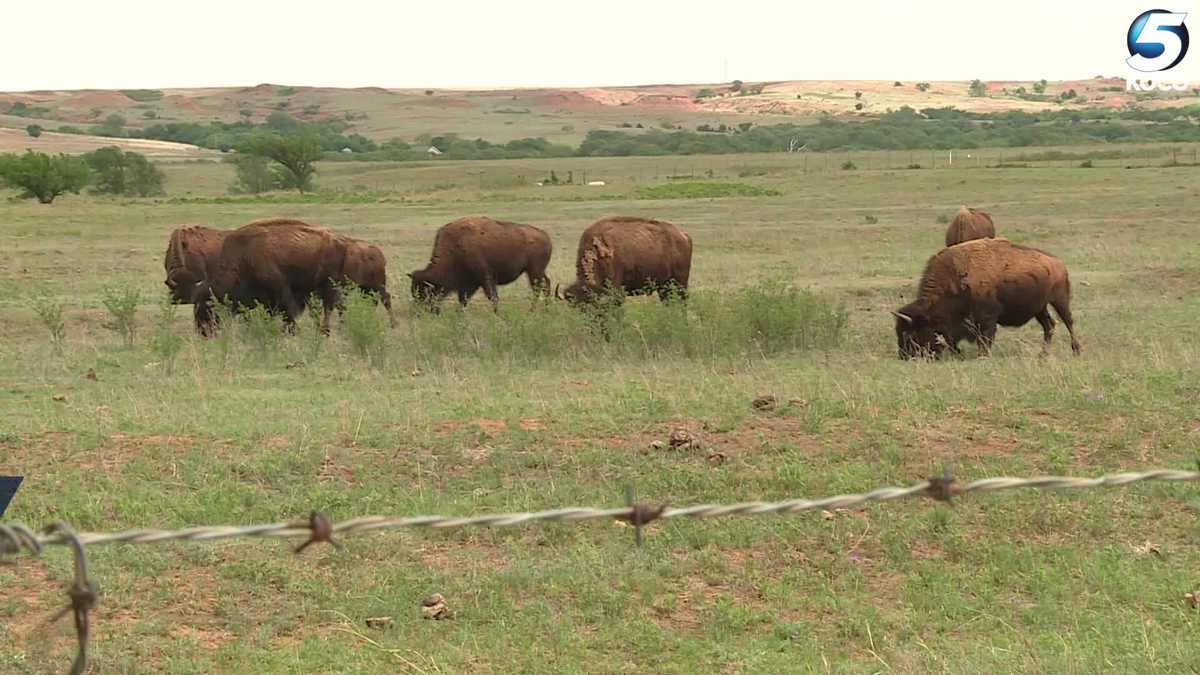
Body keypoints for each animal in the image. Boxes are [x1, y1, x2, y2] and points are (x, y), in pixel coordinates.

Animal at [408, 216, 552, 310]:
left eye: (424, 292)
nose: (422, 311)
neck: (455, 247)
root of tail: (545, 236)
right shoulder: (467, 284)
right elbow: (463, 300)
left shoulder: (485, 278)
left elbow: (493, 298)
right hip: (538, 271)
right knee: (546, 284)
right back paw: (545, 308)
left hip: (534, 271)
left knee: (538, 289)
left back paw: (532, 310)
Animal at [893, 237, 1081, 359]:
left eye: (910, 334)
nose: (904, 356)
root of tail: (1059, 263)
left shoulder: (987, 318)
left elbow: (985, 338)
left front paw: (982, 355)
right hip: (1039, 307)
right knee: (1049, 325)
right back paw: (1042, 354)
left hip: (1059, 300)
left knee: (1068, 322)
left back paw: (1076, 351)